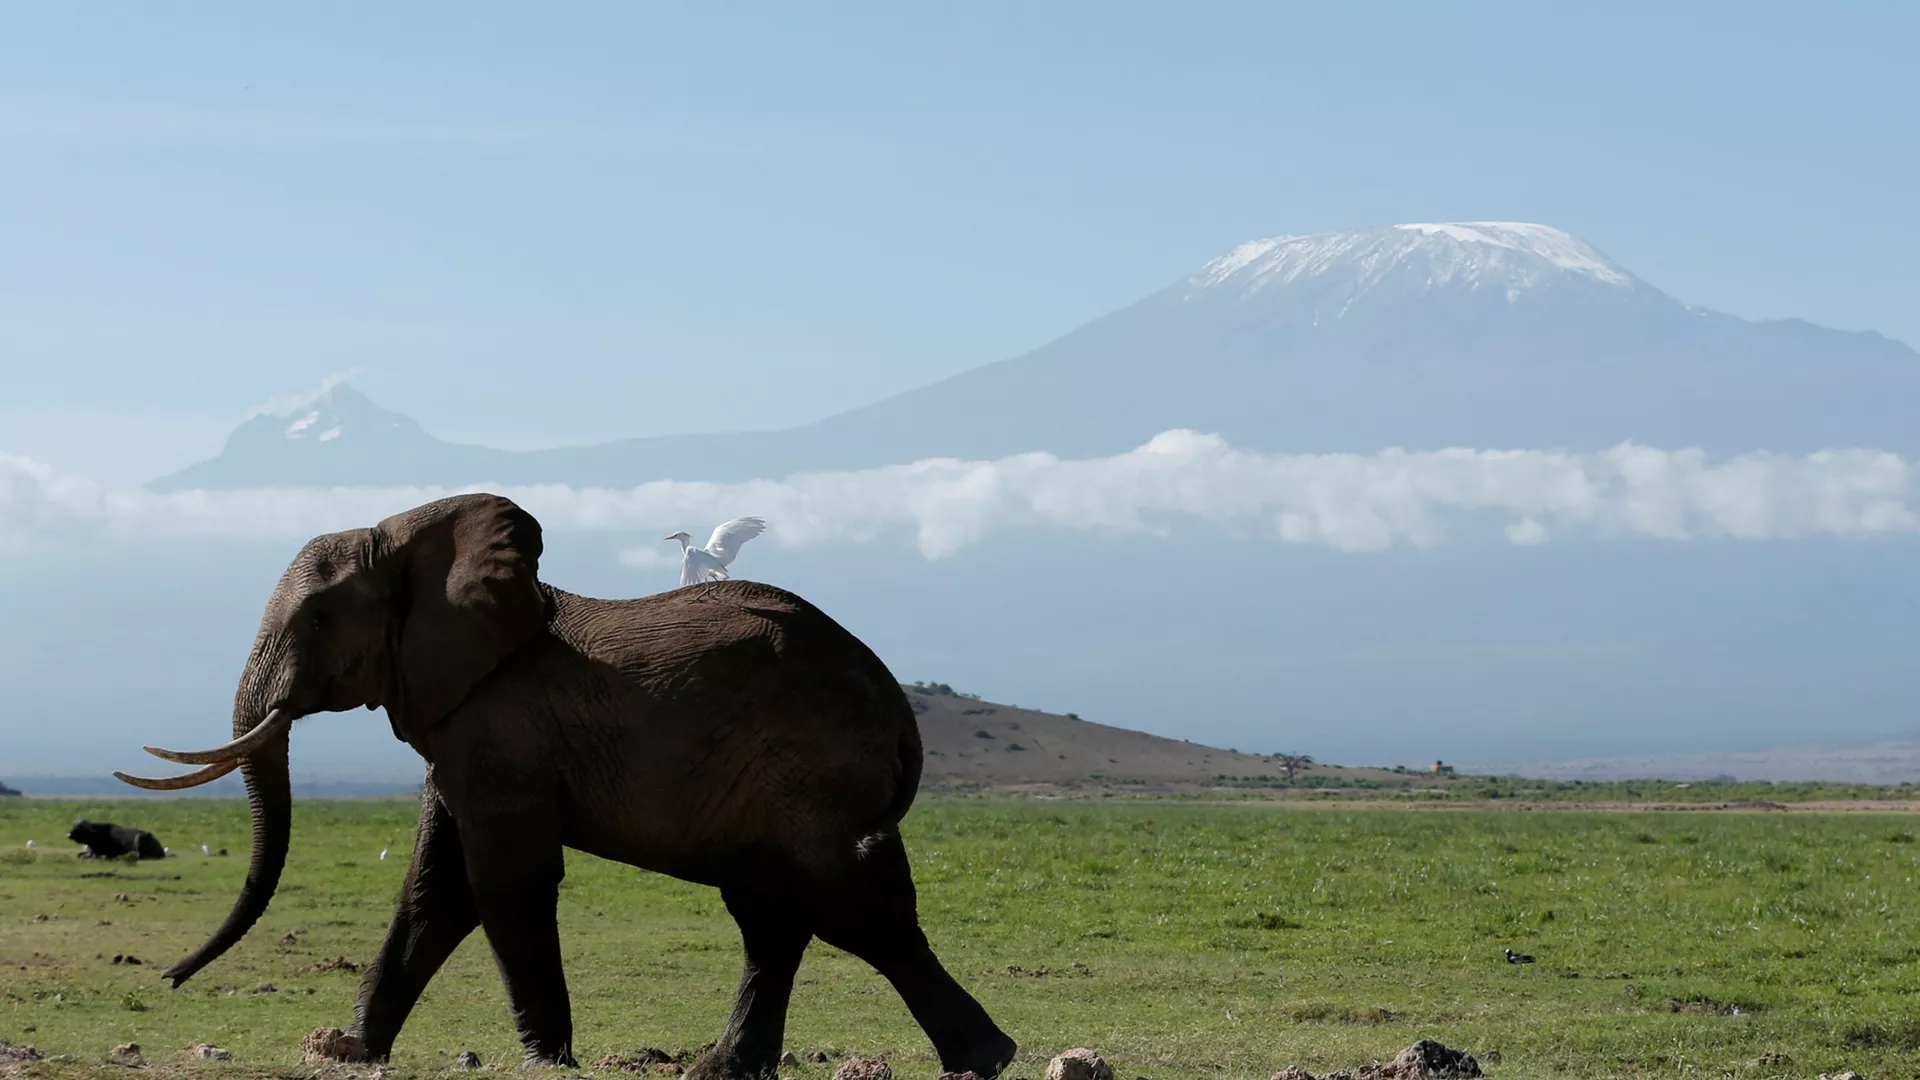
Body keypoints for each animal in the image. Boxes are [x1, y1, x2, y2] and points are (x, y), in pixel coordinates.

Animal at [117, 493, 1016, 1077]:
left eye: (315, 620)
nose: (169, 980)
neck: (412, 542)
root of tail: (897, 708)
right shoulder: (462, 724)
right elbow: (435, 888)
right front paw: (352, 1053)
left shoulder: (499, 727)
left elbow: (500, 880)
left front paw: (548, 1057)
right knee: (778, 914)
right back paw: (725, 1068)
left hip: (811, 770)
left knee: (853, 905)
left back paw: (985, 1059)